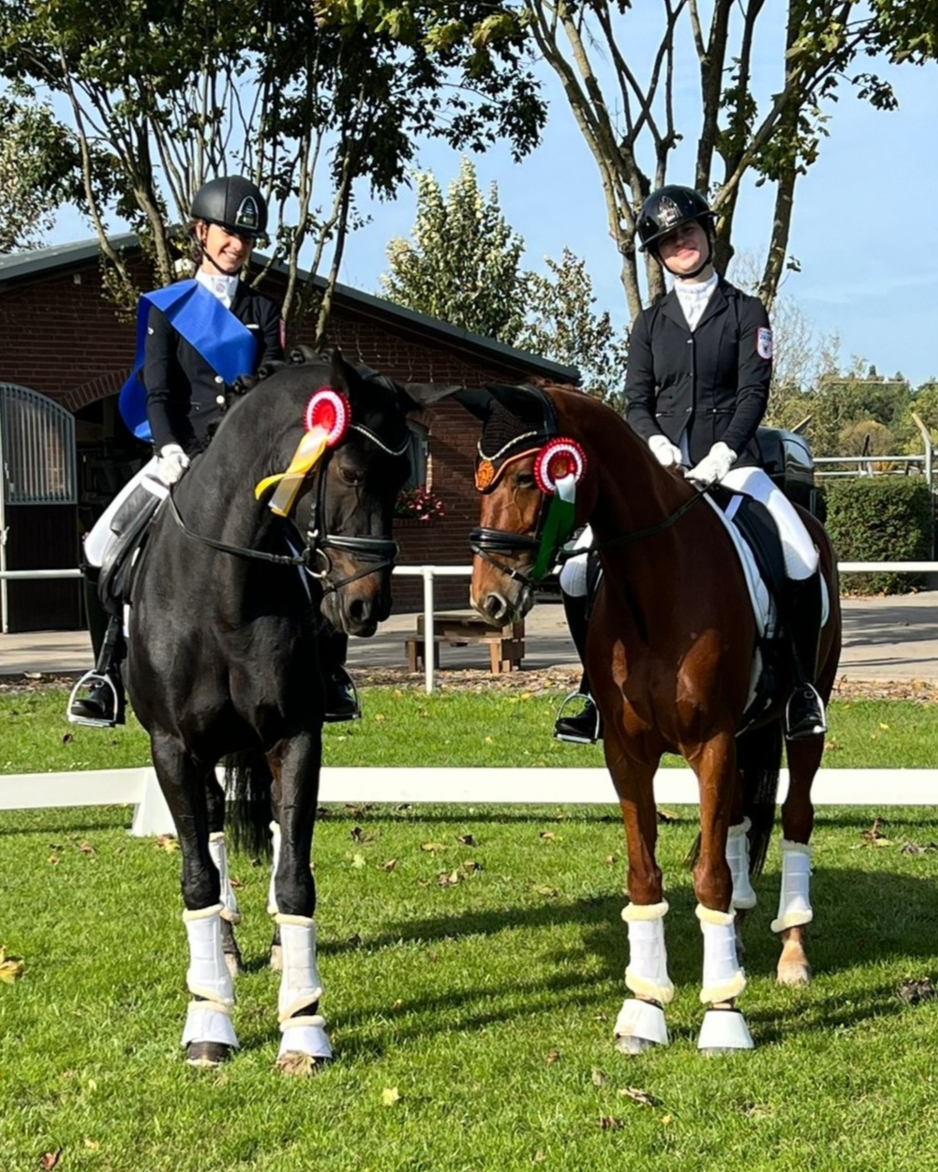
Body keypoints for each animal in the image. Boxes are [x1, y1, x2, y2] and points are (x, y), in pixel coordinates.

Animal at [126, 349, 431, 1073]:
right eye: (349, 472)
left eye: (404, 481)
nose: (365, 606)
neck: (223, 589)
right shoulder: (172, 747)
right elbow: (197, 879)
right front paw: (209, 1020)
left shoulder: (295, 736)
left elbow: (295, 874)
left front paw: (303, 1025)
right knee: (210, 830)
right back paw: (225, 952)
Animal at [457, 382, 844, 1054]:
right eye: (482, 480)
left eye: (531, 478)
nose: (490, 601)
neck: (656, 585)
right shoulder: (627, 754)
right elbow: (646, 876)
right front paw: (643, 1009)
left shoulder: (711, 743)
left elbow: (710, 876)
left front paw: (724, 1016)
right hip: (745, 735)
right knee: (738, 820)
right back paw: (735, 939)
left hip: (803, 719)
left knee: (796, 817)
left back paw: (791, 953)